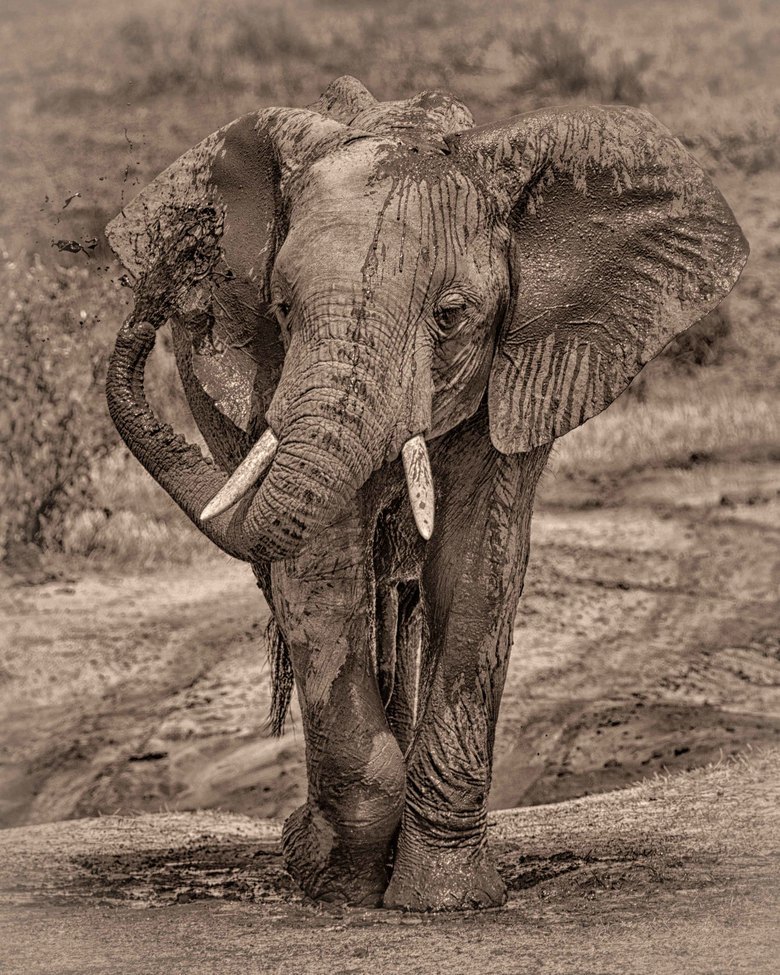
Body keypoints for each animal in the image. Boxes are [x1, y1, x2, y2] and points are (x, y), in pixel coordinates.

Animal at [105, 75, 747, 911]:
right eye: (282, 308)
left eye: (450, 316)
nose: (149, 301)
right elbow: (321, 570)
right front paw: (327, 873)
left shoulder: (519, 363)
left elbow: (477, 564)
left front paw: (445, 898)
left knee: (404, 593)